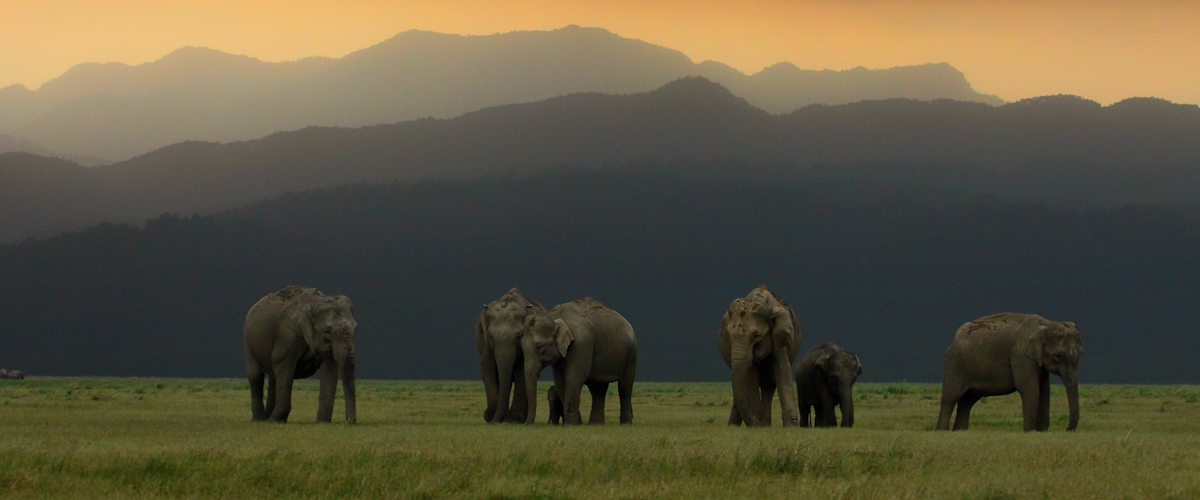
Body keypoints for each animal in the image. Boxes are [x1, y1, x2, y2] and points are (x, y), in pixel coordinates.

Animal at [242, 286, 355, 422]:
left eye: (355, 328)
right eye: (327, 330)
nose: (350, 421)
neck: (315, 302)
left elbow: (329, 370)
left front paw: (322, 423)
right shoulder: (287, 336)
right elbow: (284, 367)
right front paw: (276, 421)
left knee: (274, 377)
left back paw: (268, 417)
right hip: (248, 340)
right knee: (256, 375)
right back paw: (261, 420)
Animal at [472, 286, 544, 422]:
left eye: (519, 335)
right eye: (490, 335)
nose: (486, 415)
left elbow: (522, 372)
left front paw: (512, 420)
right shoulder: (487, 345)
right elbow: (487, 370)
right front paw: (493, 416)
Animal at [715, 286, 801, 426]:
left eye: (756, 336)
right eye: (728, 334)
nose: (755, 423)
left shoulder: (780, 338)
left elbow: (782, 370)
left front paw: (791, 427)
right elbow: (751, 375)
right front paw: (758, 425)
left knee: (769, 386)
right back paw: (735, 425)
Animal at [936, 314, 1089, 431]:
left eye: (1081, 353)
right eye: (1058, 355)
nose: (1067, 430)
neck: (1045, 324)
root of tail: (957, 333)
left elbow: (1045, 390)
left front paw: (1041, 431)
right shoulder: (1020, 355)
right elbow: (1030, 388)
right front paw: (1029, 431)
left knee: (967, 400)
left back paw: (960, 431)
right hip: (955, 363)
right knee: (951, 397)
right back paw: (942, 430)